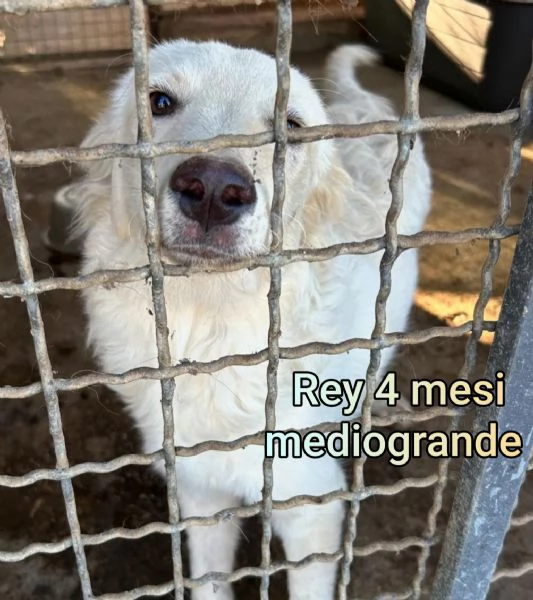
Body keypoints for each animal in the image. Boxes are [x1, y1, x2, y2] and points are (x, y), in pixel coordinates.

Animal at [77, 42, 430, 600]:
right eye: (159, 101)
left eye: (291, 125)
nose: (214, 187)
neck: (209, 338)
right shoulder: (200, 496)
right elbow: (209, 582)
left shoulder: (312, 510)